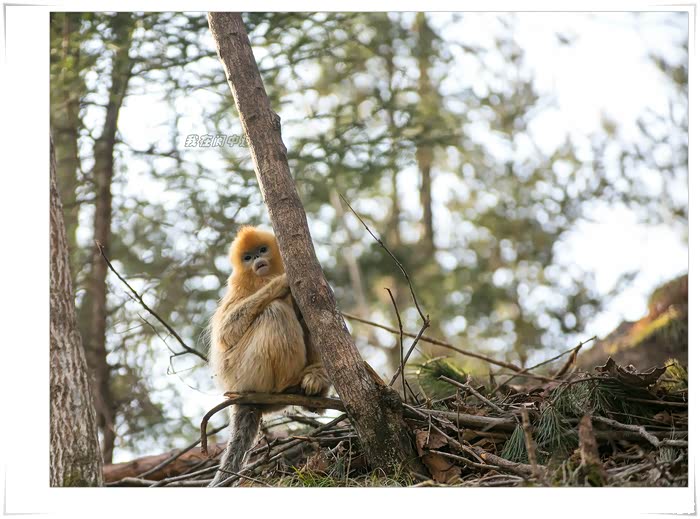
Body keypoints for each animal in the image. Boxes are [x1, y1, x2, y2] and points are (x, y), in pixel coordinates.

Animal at [208, 226, 330, 487]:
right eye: (247, 257)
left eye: (262, 250)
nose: (257, 260)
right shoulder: (237, 288)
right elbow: (225, 334)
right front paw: (280, 284)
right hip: (244, 373)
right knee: (274, 310)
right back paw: (289, 385)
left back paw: (314, 386)